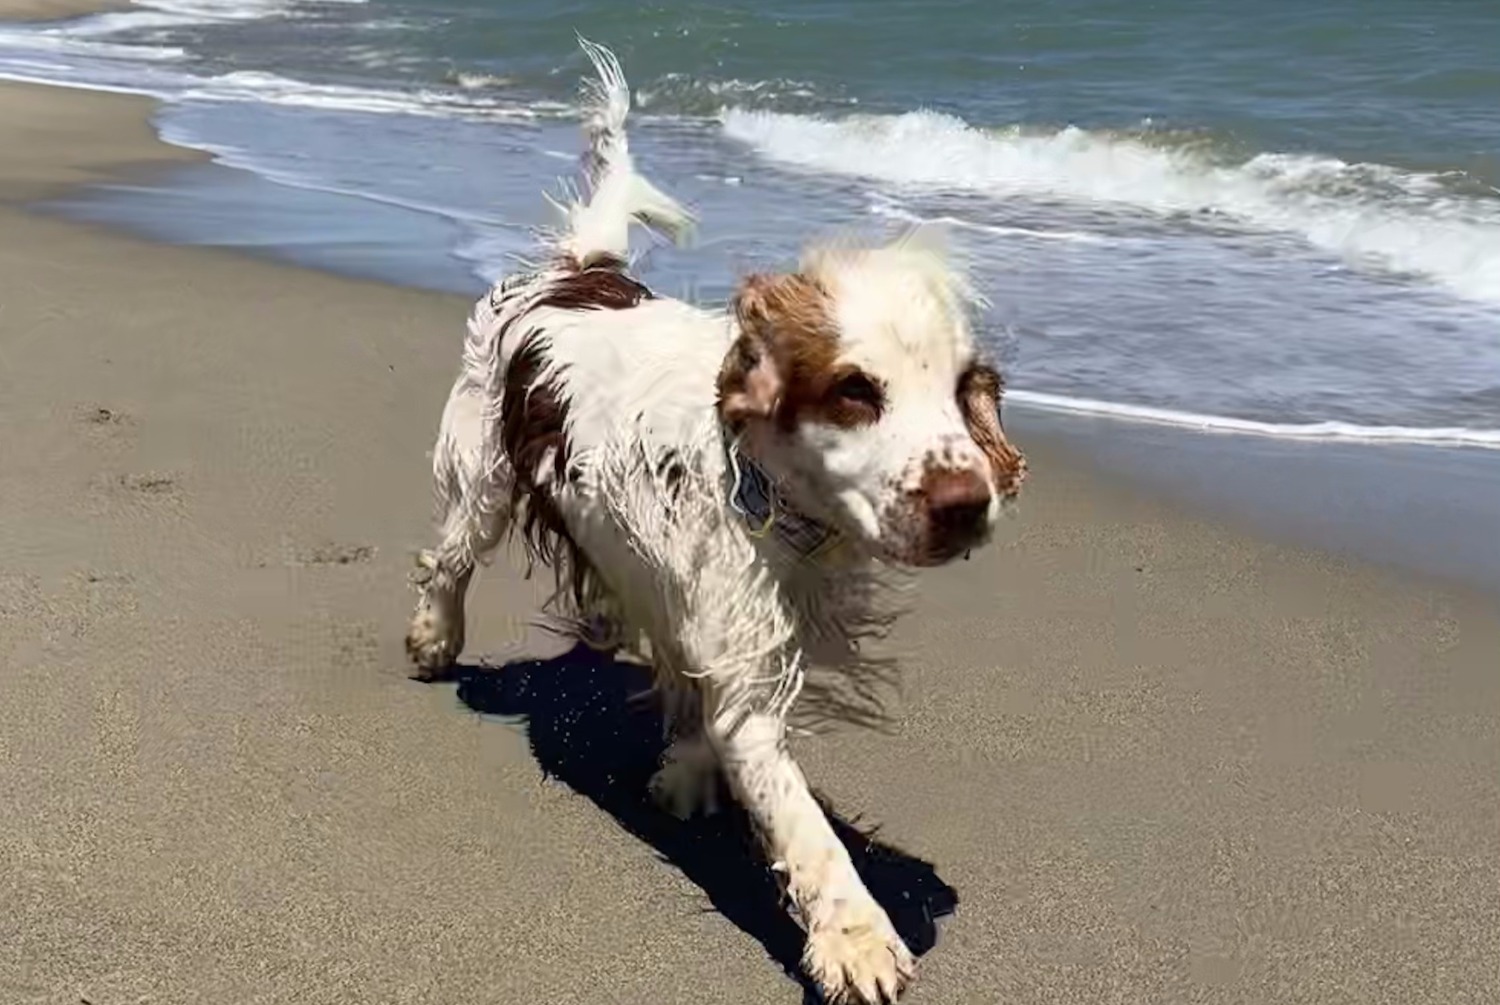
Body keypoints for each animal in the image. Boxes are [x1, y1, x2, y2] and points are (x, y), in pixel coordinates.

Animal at [405, 39, 1026, 1005]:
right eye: (856, 390)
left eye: (966, 389)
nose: (966, 504)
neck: (779, 503)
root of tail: (578, 270)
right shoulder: (751, 684)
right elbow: (810, 832)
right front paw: (855, 940)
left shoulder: (728, 634)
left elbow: (701, 702)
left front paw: (685, 772)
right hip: (483, 479)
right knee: (449, 560)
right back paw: (435, 640)